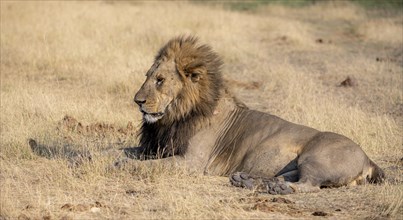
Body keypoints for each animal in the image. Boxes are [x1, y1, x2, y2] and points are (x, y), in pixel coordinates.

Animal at [133, 35, 386, 194]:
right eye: (147, 76)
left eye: (160, 80)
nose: (137, 101)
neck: (173, 116)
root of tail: (367, 157)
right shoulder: (157, 147)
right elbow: (129, 152)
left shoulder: (192, 161)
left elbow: (145, 165)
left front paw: (125, 165)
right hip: (297, 164)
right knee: (287, 175)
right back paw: (248, 180)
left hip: (315, 158)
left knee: (308, 184)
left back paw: (277, 188)